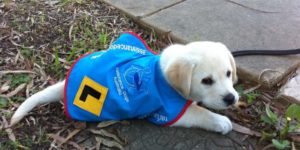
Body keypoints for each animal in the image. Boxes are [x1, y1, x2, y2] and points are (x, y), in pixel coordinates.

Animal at [9, 34, 239, 135]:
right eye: (206, 81)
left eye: (228, 73)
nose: (231, 99)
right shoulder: (167, 113)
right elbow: (200, 113)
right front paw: (221, 121)